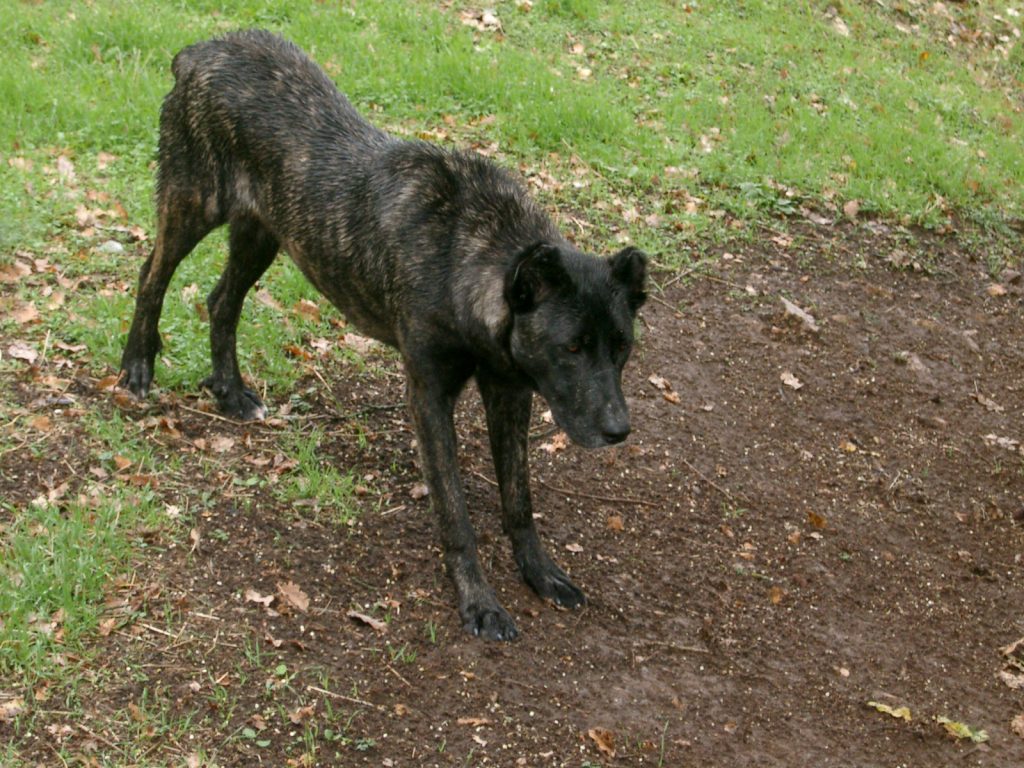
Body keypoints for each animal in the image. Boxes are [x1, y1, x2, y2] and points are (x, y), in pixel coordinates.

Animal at [121, 30, 647, 638]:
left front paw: (540, 573)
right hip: (192, 204)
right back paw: (136, 367)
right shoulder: (428, 397)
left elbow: (519, 501)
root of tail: (200, 50)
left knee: (220, 301)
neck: (467, 254)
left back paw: (229, 392)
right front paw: (479, 602)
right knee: (151, 276)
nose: (618, 431)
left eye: (622, 348)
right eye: (572, 348)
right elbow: (455, 513)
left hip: (262, 234)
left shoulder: (509, 393)